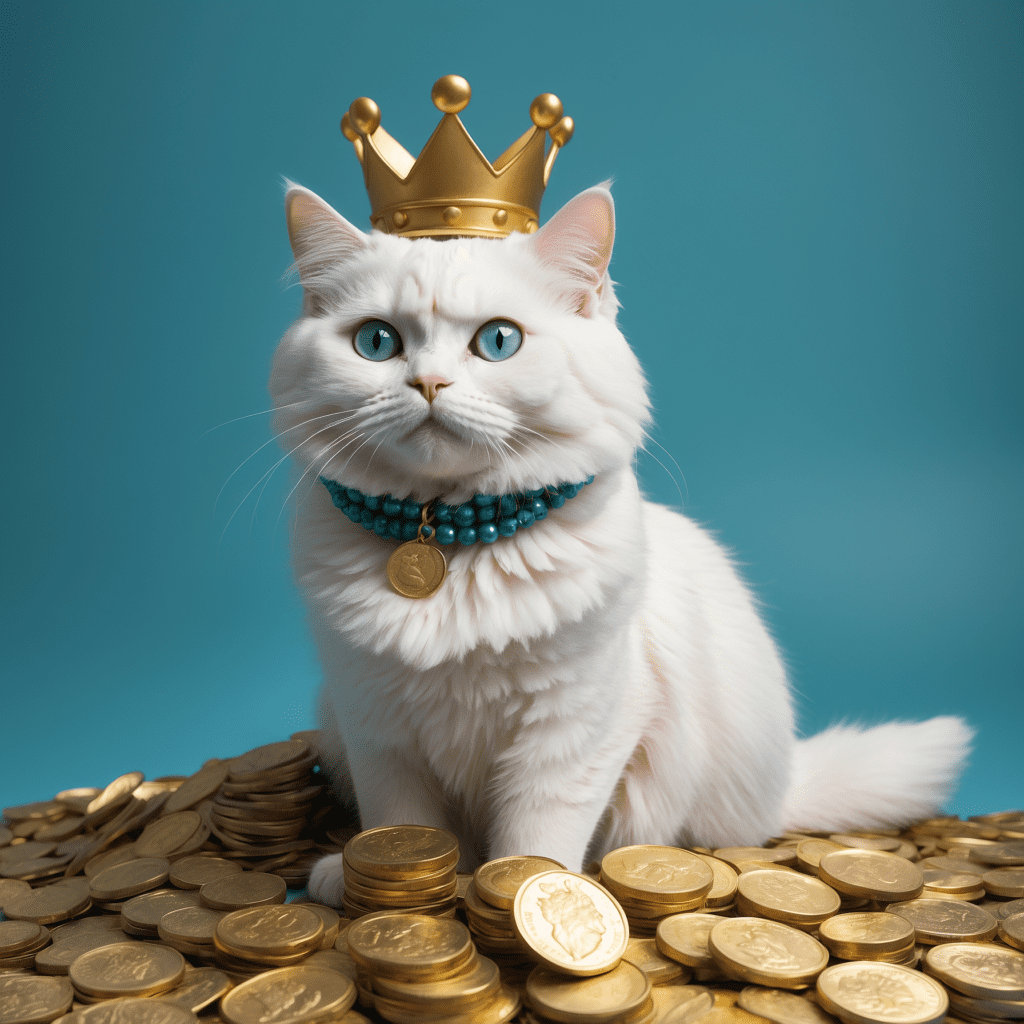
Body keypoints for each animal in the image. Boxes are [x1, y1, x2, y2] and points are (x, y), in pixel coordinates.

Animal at [268, 180, 970, 909]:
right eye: (377, 342)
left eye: (498, 341)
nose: (429, 384)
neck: (447, 539)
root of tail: (777, 792)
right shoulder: (376, 725)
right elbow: (403, 829)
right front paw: (389, 890)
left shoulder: (578, 727)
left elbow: (533, 842)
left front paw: (523, 905)